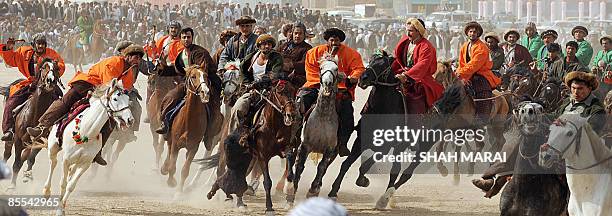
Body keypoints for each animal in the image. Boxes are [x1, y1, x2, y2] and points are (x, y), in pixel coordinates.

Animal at [5, 58, 61, 188]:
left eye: (56, 68)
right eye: (44, 67)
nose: (50, 81)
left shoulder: (39, 141)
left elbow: (29, 159)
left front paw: (26, 175)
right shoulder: (18, 139)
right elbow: (16, 162)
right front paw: (12, 185)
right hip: (11, 139)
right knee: (7, 153)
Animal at [42, 79, 134, 216]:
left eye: (128, 99)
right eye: (115, 98)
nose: (130, 120)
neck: (86, 131)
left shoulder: (85, 163)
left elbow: (71, 186)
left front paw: (61, 207)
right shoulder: (66, 160)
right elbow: (63, 183)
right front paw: (59, 209)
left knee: (70, 172)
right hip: (53, 147)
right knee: (53, 163)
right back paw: (46, 192)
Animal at [159, 63, 214, 196]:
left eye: (206, 75)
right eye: (193, 76)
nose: (205, 92)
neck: (189, 121)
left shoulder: (193, 148)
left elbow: (185, 170)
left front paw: (179, 192)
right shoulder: (176, 144)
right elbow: (172, 166)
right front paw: (171, 182)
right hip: (170, 138)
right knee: (169, 153)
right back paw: (164, 168)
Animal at [288, 52, 344, 206]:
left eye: (336, 69)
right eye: (321, 67)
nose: (327, 83)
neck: (322, 117)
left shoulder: (330, 150)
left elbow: (321, 168)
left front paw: (313, 190)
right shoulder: (304, 146)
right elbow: (299, 166)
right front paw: (292, 193)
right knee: (291, 158)